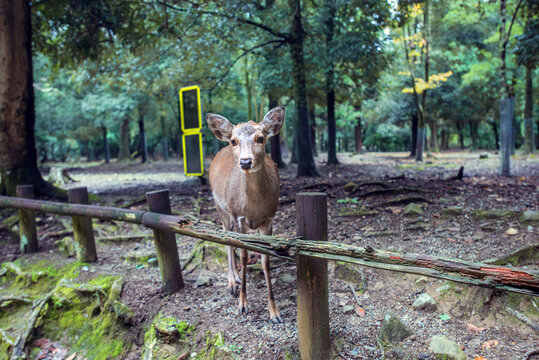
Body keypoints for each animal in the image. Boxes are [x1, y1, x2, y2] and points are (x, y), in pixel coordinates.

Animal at [205, 106, 284, 324]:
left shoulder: (269, 218)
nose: (246, 161)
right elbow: (244, 255)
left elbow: (266, 260)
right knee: (227, 239)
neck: (254, 207)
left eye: (261, 138)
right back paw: (233, 283)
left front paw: (274, 312)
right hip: (221, 207)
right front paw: (242, 305)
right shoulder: (239, 216)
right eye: (234, 141)